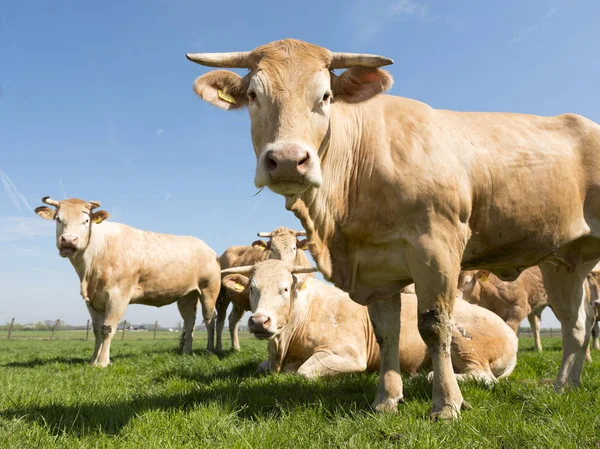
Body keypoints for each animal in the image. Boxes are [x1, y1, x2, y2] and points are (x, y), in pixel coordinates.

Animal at [33, 198, 220, 366]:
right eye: (58, 219)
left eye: (86, 221)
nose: (69, 240)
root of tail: (207, 248)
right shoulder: (92, 300)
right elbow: (96, 331)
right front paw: (93, 360)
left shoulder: (118, 296)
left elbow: (107, 329)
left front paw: (103, 362)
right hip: (187, 296)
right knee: (190, 322)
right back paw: (186, 351)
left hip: (209, 290)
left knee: (210, 320)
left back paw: (210, 350)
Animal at [220, 260, 516, 384]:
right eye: (252, 289)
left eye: (284, 289)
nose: (259, 321)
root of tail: (510, 334)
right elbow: (260, 368)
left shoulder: (348, 354)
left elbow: (303, 372)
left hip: (465, 343)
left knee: (484, 377)